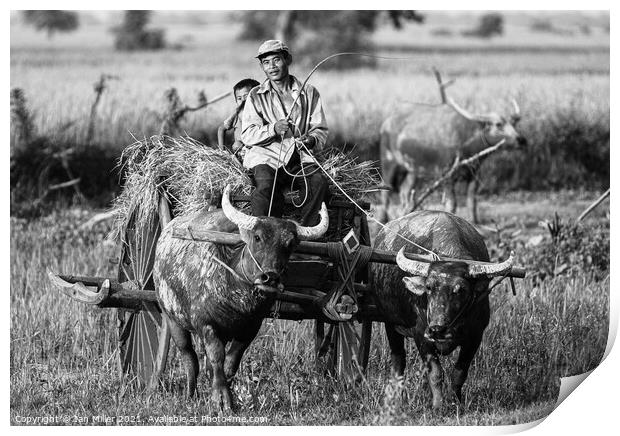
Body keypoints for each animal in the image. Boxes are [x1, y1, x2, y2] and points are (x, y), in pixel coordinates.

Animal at [154, 184, 330, 408]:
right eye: (257, 237)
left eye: (290, 244)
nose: (270, 278)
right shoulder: (206, 324)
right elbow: (216, 357)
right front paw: (221, 398)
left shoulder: (250, 328)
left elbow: (231, 363)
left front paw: (228, 395)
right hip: (172, 318)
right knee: (189, 357)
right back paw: (190, 394)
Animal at [372, 209, 512, 408]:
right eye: (429, 287)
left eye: (460, 289)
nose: (437, 329)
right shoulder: (421, 335)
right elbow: (436, 373)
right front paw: (438, 405)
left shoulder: (476, 336)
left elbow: (459, 373)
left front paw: (456, 402)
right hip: (390, 324)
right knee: (398, 361)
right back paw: (396, 398)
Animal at [378, 70, 528, 225]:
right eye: (498, 124)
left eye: (513, 124)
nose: (521, 140)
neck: (467, 142)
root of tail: (387, 122)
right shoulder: (447, 175)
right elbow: (452, 203)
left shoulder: (474, 175)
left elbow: (472, 200)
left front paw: (475, 221)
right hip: (388, 162)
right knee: (385, 194)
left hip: (412, 171)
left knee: (404, 192)